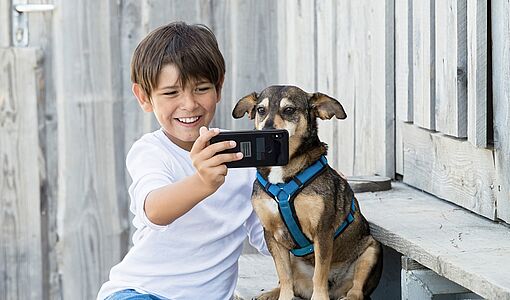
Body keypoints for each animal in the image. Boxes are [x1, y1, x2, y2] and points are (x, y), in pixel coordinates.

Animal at [233, 85, 380, 300]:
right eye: (261, 110)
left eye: (288, 110)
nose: (269, 131)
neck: (283, 176)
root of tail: (335, 286)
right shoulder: (271, 235)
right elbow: (284, 275)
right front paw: (284, 297)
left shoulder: (322, 231)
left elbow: (319, 272)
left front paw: (319, 297)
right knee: (289, 282)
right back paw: (270, 293)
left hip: (371, 250)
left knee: (356, 290)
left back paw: (348, 296)